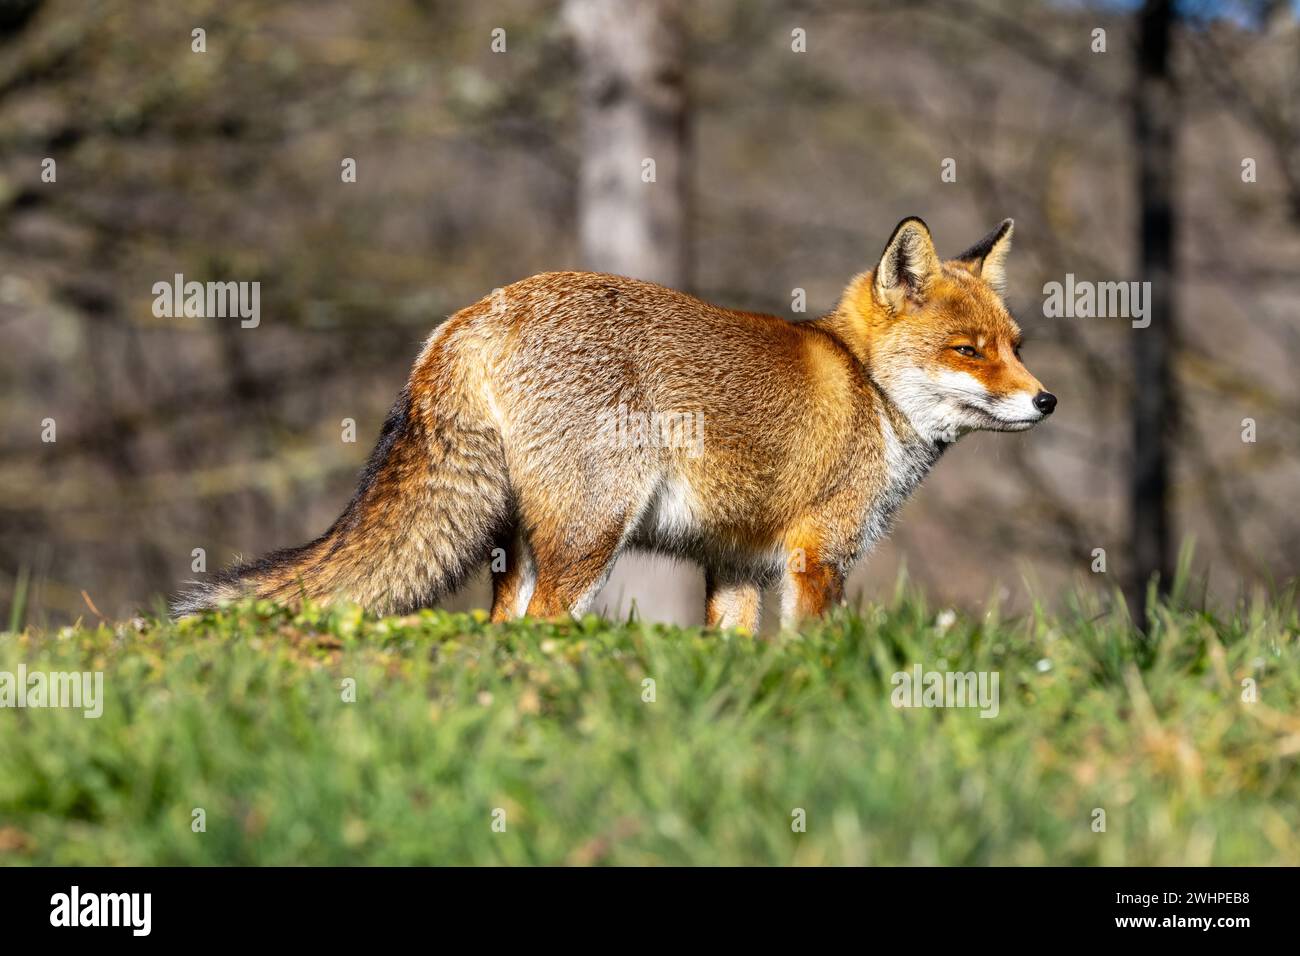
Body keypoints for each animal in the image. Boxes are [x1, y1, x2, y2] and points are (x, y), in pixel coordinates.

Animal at [178, 221, 1055, 632]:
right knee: (539, 628)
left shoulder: (738, 565)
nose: (1046, 401)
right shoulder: (817, 557)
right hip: (592, 535)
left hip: (527, 543)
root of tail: (477, 312)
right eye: (968, 351)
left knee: (500, 629)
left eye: (1016, 345)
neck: (868, 387)